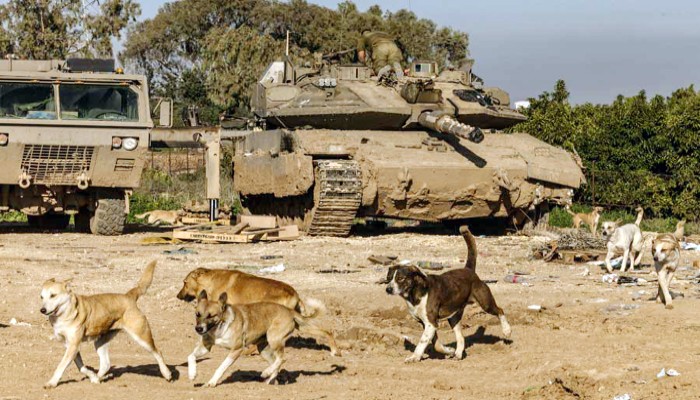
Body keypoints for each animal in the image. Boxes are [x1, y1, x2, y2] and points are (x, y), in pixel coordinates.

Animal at [40, 260, 172, 388]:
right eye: (41, 297)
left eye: (53, 295)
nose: (42, 310)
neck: (64, 313)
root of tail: (128, 296)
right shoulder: (69, 345)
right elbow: (81, 367)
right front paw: (92, 376)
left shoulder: (73, 345)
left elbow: (61, 366)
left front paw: (51, 383)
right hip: (100, 342)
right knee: (105, 364)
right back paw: (98, 378)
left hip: (141, 336)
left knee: (158, 352)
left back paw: (167, 374)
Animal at [187, 290, 334, 388]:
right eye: (197, 314)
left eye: (211, 316)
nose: (198, 329)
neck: (219, 328)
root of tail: (289, 311)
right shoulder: (206, 347)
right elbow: (191, 356)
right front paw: (192, 374)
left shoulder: (236, 350)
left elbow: (221, 367)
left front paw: (212, 382)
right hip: (263, 349)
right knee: (277, 363)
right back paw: (269, 380)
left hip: (274, 339)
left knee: (282, 359)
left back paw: (266, 373)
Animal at [380, 225, 512, 362]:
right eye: (389, 278)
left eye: (400, 278)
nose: (388, 289)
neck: (415, 294)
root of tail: (468, 270)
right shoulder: (427, 324)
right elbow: (436, 345)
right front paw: (449, 350)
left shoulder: (431, 323)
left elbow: (422, 342)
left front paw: (414, 357)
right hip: (453, 317)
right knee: (461, 337)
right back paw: (458, 353)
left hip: (485, 303)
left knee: (500, 310)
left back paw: (507, 330)